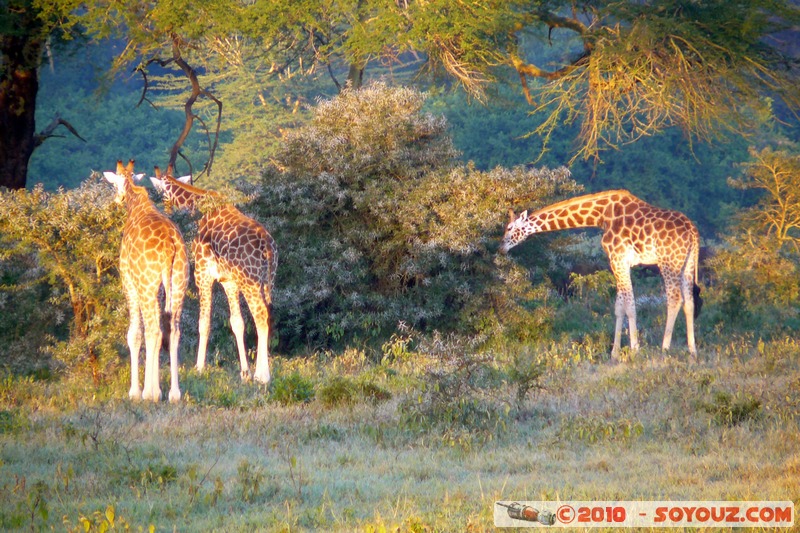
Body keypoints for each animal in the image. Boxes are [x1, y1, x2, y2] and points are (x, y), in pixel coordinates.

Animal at [102, 160, 188, 402]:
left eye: (114, 185)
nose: (115, 201)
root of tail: (169, 246)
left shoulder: (129, 282)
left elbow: (134, 333)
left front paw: (135, 392)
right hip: (178, 283)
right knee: (173, 331)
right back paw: (174, 394)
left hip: (147, 286)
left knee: (154, 331)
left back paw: (152, 393)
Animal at [148, 166, 276, 382]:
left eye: (162, 193)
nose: (166, 210)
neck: (200, 206)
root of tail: (266, 243)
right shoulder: (228, 281)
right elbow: (237, 322)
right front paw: (244, 372)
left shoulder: (202, 275)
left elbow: (204, 322)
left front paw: (199, 367)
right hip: (268, 280)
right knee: (268, 314)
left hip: (250, 282)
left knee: (260, 315)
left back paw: (263, 375)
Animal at [500, 189, 700, 360]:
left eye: (509, 228)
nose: (501, 247)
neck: (601, 215)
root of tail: (693, 232)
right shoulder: (618, 262)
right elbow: (619, 307)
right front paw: (615, 353)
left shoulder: (618, 259)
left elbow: (629, 305)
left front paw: (635, 350)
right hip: (687, 262)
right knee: (689, 301)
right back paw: (692, 351)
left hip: (668, 261)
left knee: (675, 298)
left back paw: (664, 349)